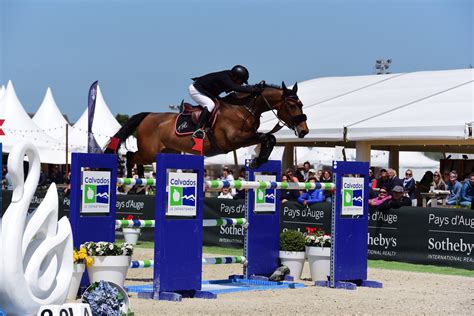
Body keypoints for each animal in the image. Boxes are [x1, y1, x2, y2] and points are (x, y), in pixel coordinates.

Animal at [105, 81, 310, 177]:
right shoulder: (235, 140)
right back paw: (134, 181)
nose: (304, 131)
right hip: (149, 152)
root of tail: (148, 115)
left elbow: (269, 138)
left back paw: (140, 182)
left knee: (134, 158)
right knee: (130, 156)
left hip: (165, 151)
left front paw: (258, 161)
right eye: (292, 105)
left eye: (301, 104)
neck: (244, 108)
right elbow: (266, 137)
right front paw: (256, 162)